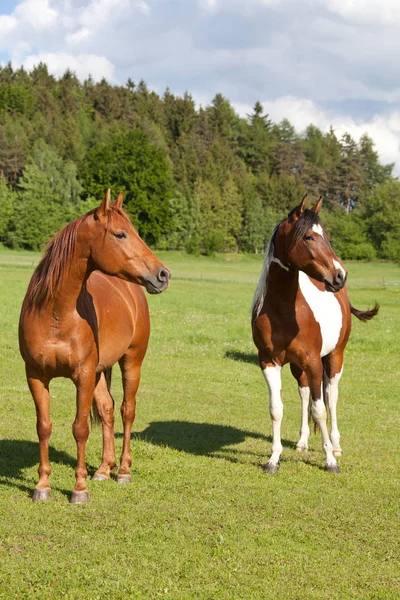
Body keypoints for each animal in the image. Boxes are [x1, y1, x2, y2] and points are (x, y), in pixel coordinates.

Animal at [18, 191, 170, 502]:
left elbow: (80, 429)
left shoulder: (83, 376)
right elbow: (44, 427)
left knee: (126, 410)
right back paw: (102, 469)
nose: (163, 274)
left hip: (131, 362)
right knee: (107, 408)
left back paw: (122, 471)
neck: (56, 314)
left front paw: (79, 488)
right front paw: (42, 486)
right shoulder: (36, 376)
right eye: (121, 234)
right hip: (100, 371)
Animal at [253, 197, 378, 474]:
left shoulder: (313, 362)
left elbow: (320, 409)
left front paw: (330, 460)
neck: (283, 312)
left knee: (331, 396)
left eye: (328, 236)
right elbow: (276, 409)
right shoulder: (268, 362)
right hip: (298, 367)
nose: (340, 275)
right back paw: (302, 442)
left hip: (334, 358)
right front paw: (273, 459)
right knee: (304, 394)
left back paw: (336, 445)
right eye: (309, 236)